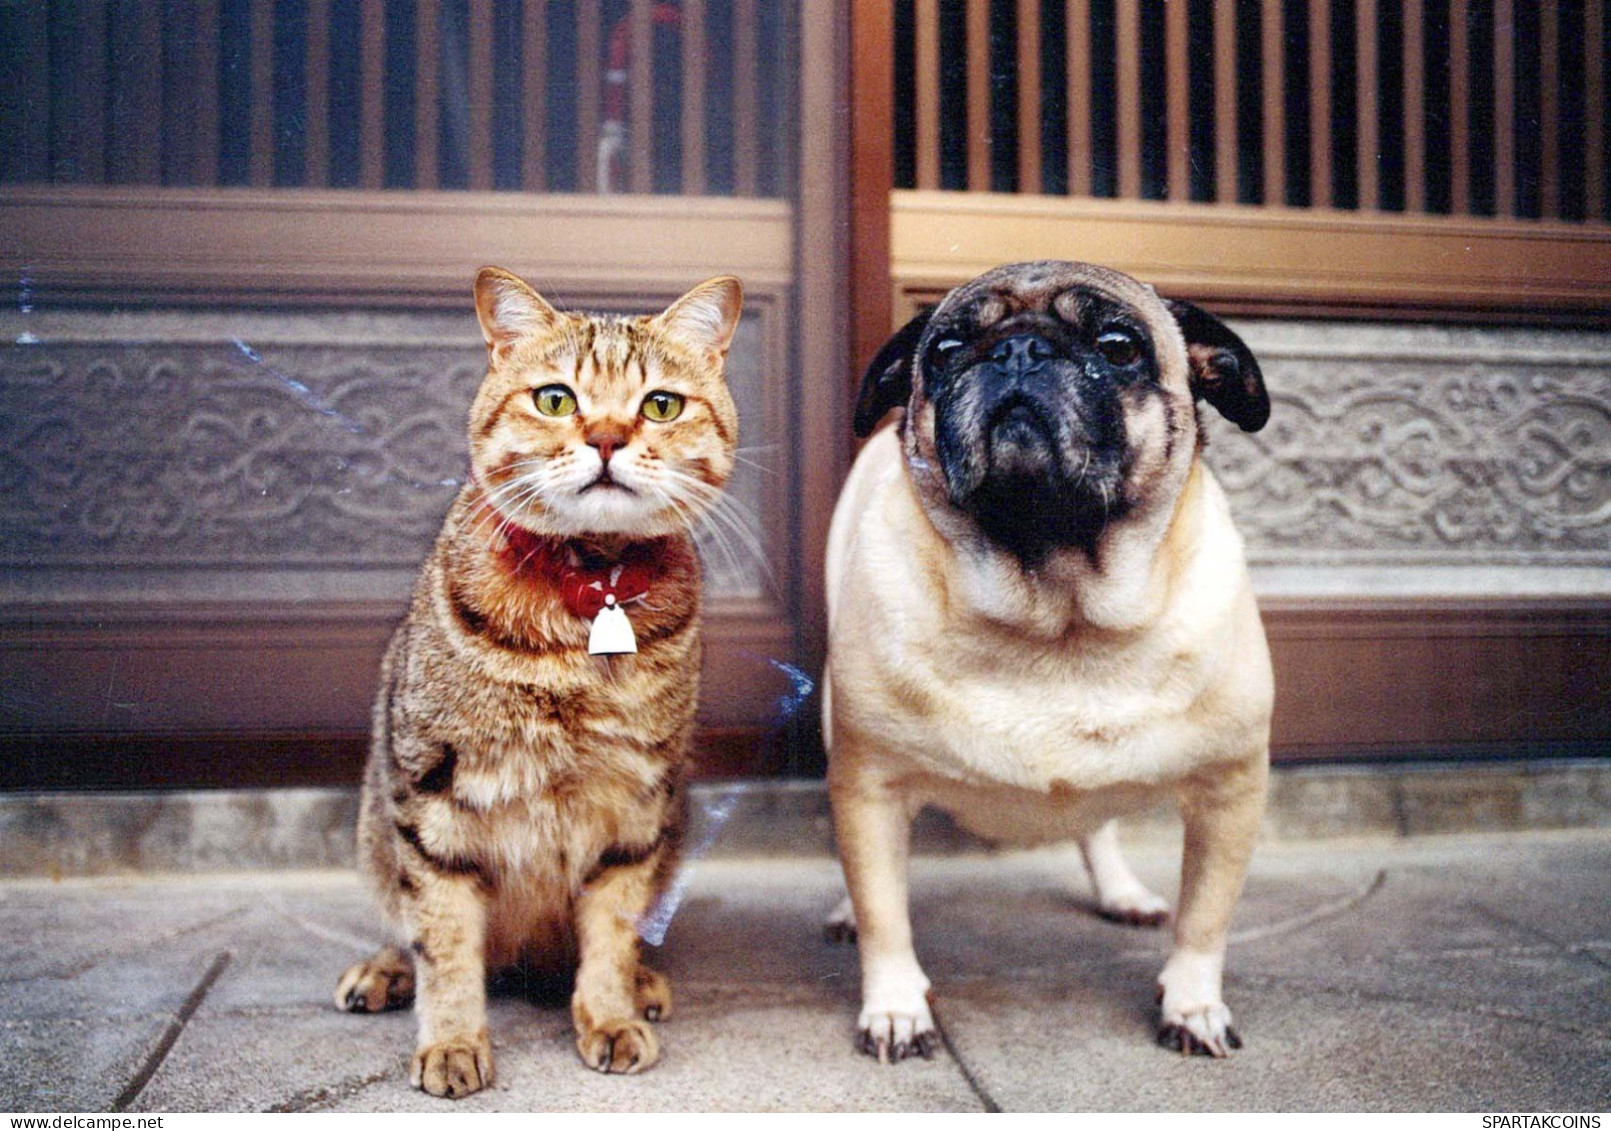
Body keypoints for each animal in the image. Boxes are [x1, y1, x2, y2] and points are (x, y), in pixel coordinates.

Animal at [335, 265, 747, 1095]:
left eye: (660, 404)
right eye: (556, 398)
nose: (608, 437)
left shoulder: (635, 804)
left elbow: (612, 931)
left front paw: (609, 1013)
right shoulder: (430, 794)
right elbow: (444, 939)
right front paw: (452, 1039)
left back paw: (639, 983)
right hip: (376, 823)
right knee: (408, 925)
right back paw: (384, 970)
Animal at [831, 261, 1269, 1069]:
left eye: (1118, 345)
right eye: (945, 351)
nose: (1018, 349)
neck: (1057, 612)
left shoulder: (1230, 790)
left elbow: (1205, 917)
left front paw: (1193, 1005)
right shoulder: (870, 782)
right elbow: (885, 914)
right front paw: (896, 1006)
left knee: (1098, 828)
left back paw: (1121, 891)